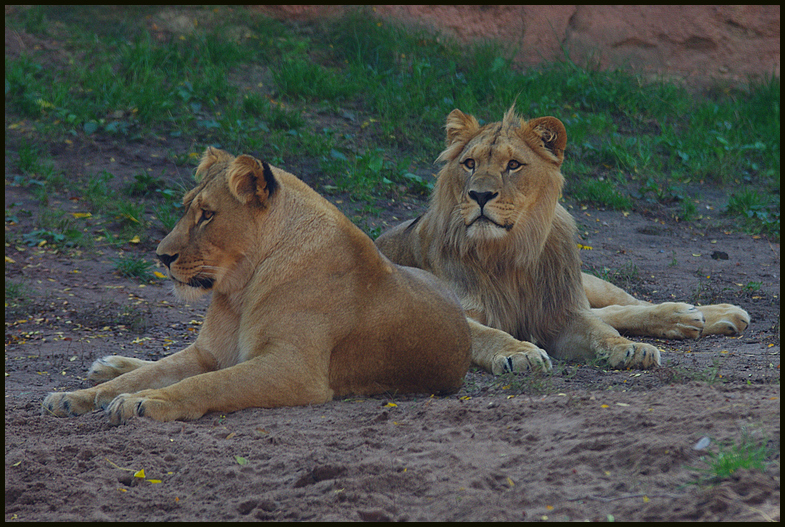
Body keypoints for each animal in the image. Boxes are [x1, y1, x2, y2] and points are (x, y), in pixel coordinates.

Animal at [43, 147, 468, 424]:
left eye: (207, 215)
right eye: (186, 208)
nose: (161, 257)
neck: (239, 291)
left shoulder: (295, 369)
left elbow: (207, 385)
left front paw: (143, 402)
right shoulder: (208, 353)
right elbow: (152, 374)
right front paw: (72, 397)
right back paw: (106, 367)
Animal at [376, 106, 752, 376]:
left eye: (513, 165)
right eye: (469, 163)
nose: (480, 195)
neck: (508, 253)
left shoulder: (559, 313)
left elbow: (598, 328)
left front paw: (628, 348)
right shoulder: (444, 315)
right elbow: (487, 333)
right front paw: (519, 352)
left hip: (584, 284)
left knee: (619, 305)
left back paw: (702, 314)